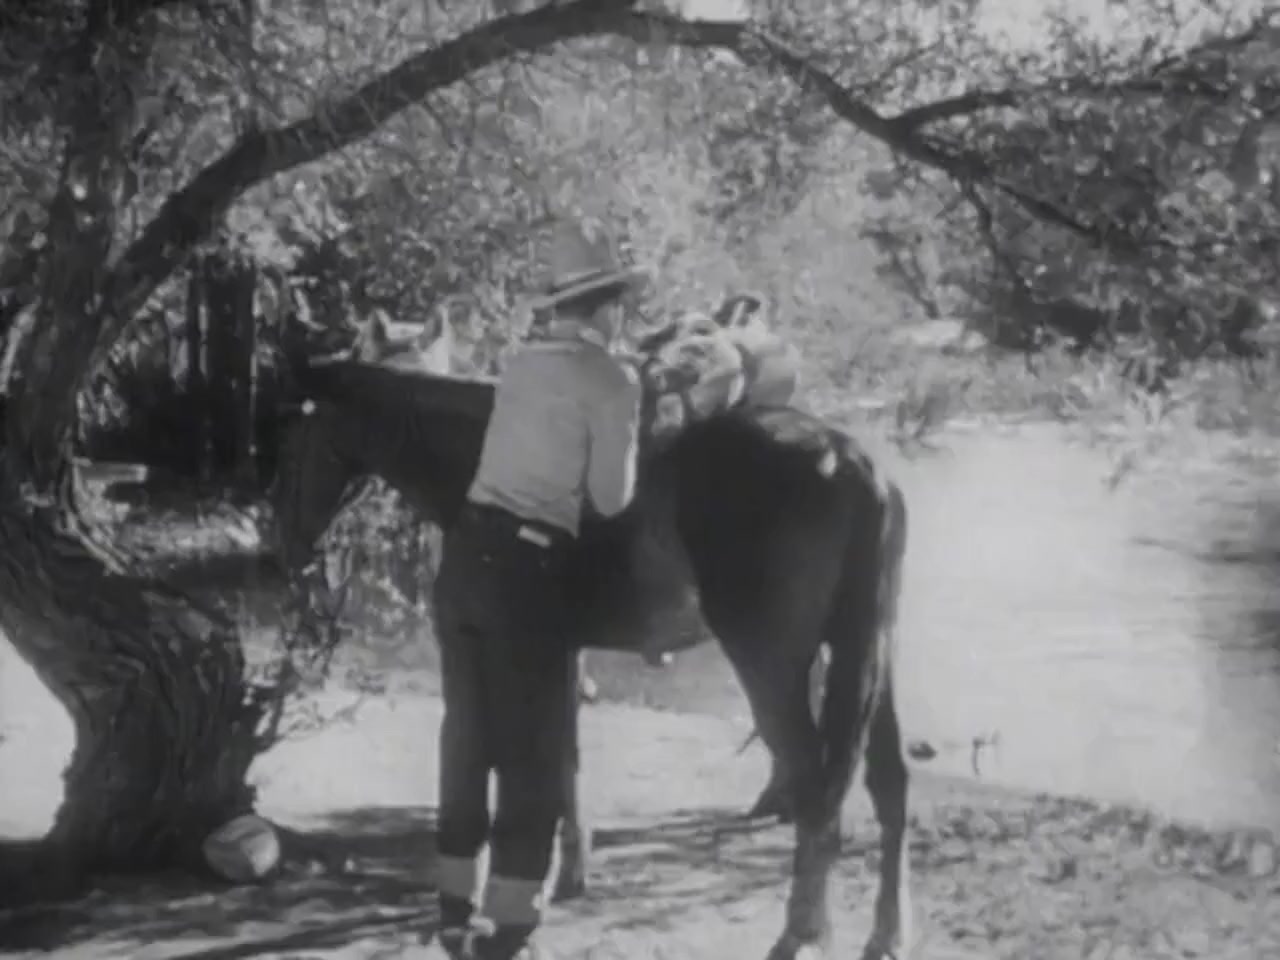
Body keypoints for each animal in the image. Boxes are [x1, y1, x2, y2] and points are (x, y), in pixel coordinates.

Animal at [268, 358, 911, 960]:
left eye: (290, 438)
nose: (287, 545)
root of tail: (850, 461)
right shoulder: (564, 653)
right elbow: (566, 759)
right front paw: (571, 874)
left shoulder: (531, 654)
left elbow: (541, 762)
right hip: (869, 657)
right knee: (888, 784)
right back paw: (885, 935)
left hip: (773, 666)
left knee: (815, 794)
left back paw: (798, 933)